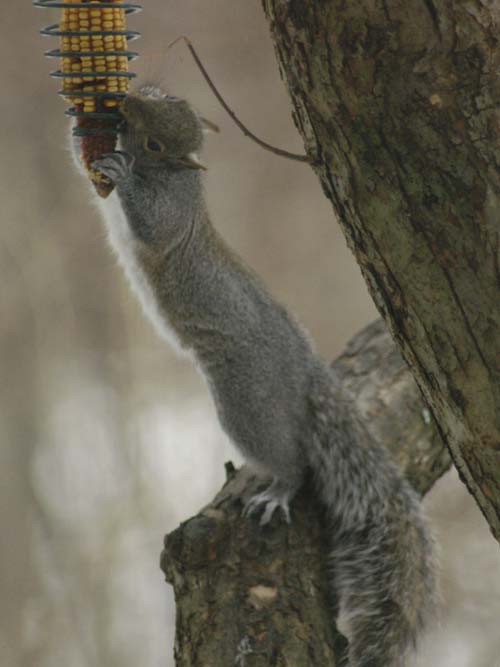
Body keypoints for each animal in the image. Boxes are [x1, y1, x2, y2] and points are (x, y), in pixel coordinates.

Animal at [76, 86, 437, 667]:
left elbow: (150, 221)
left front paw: (120, 169)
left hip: (245, 400)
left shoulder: (169, 213)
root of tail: (305, 370)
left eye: (155, 142)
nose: (125, 101)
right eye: (157, 92)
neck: (178, 175)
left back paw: (278, 488)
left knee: (291, 460)